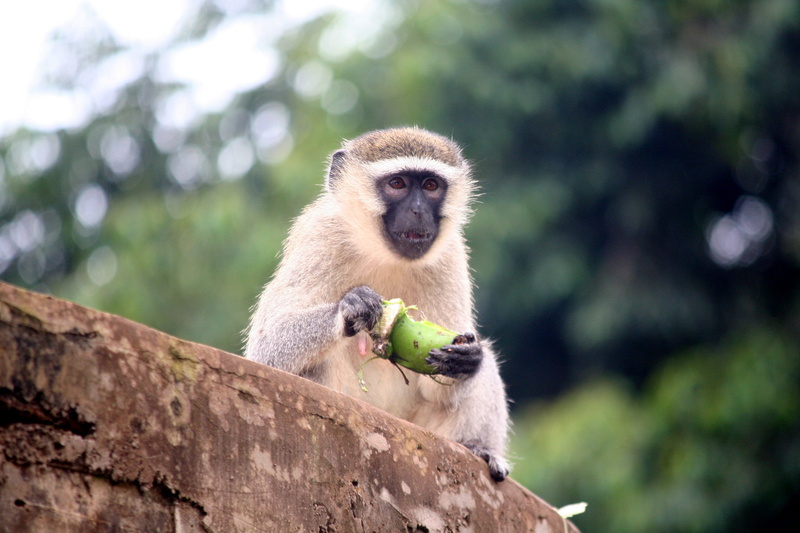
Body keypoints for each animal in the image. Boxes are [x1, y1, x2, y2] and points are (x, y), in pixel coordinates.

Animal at [244, 127, 510, 481]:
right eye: (397, 183)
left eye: (431, 186)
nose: (418, 211)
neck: (383, 253)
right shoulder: (320, 236)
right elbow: (266, 350)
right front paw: (351, 308)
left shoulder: (450, 254)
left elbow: (438, 382)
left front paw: (465, 359)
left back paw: (478, 448)